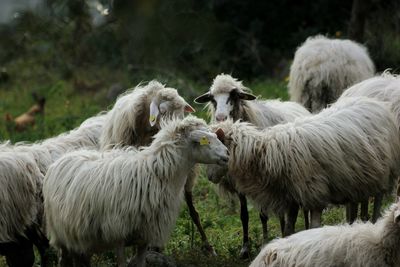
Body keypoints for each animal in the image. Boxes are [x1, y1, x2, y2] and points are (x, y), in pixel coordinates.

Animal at [43, 116, 228, 267]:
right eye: (205, 139)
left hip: (79, 237)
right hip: (61, 234)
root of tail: (61, 160)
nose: (227, 154)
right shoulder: (117, 233)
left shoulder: (145, 236)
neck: (155, 173)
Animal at [193, 74, 310, 258]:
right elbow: (244, 215)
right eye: (212, 99)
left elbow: (263, 214)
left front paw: (265, 243)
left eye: (234, 95)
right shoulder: (239, 182)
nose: (220, 117)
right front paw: (245, 248)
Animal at [209, 97, 400, 234]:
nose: (210, 178)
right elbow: (288, 230)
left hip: (385, 171)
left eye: (218, 145)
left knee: (378, 199)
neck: (263, 154)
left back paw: (374, 221)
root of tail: (376, 103)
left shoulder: (314, 193)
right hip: (360, 177)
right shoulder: (291, 197)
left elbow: (314, 227)